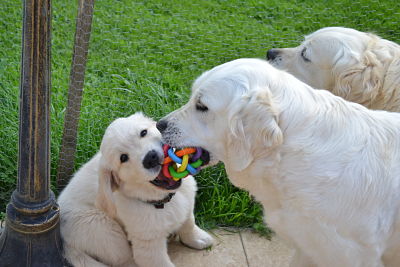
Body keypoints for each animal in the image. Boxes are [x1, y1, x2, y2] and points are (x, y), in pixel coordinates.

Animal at [57, 113, 214, 267]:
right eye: (123, 158)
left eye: (143, 133)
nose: (151, 157)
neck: (161, 200)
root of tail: (65, 245)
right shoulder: (148, 243)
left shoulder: (187, 202)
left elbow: (188, 223)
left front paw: (198, 239)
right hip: (103, 228)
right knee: (124, 259)